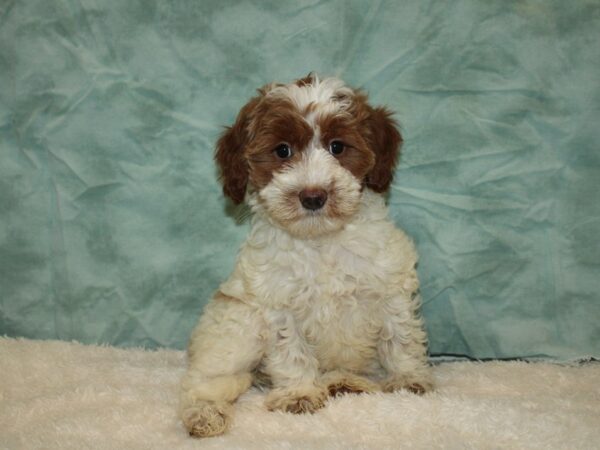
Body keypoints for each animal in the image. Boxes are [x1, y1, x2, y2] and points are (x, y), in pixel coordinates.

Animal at [178, 75, 432, 438]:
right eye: (283, 150)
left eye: (337, 147)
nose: (313, 196)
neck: (321, 241)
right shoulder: (279, 303)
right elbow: (291, 351)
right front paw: (298, 394)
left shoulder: (389, 285)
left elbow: (400, 336)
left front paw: (408, 379)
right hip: (237, 326)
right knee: (206, 379)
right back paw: (204, 412)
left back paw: (344, 382)